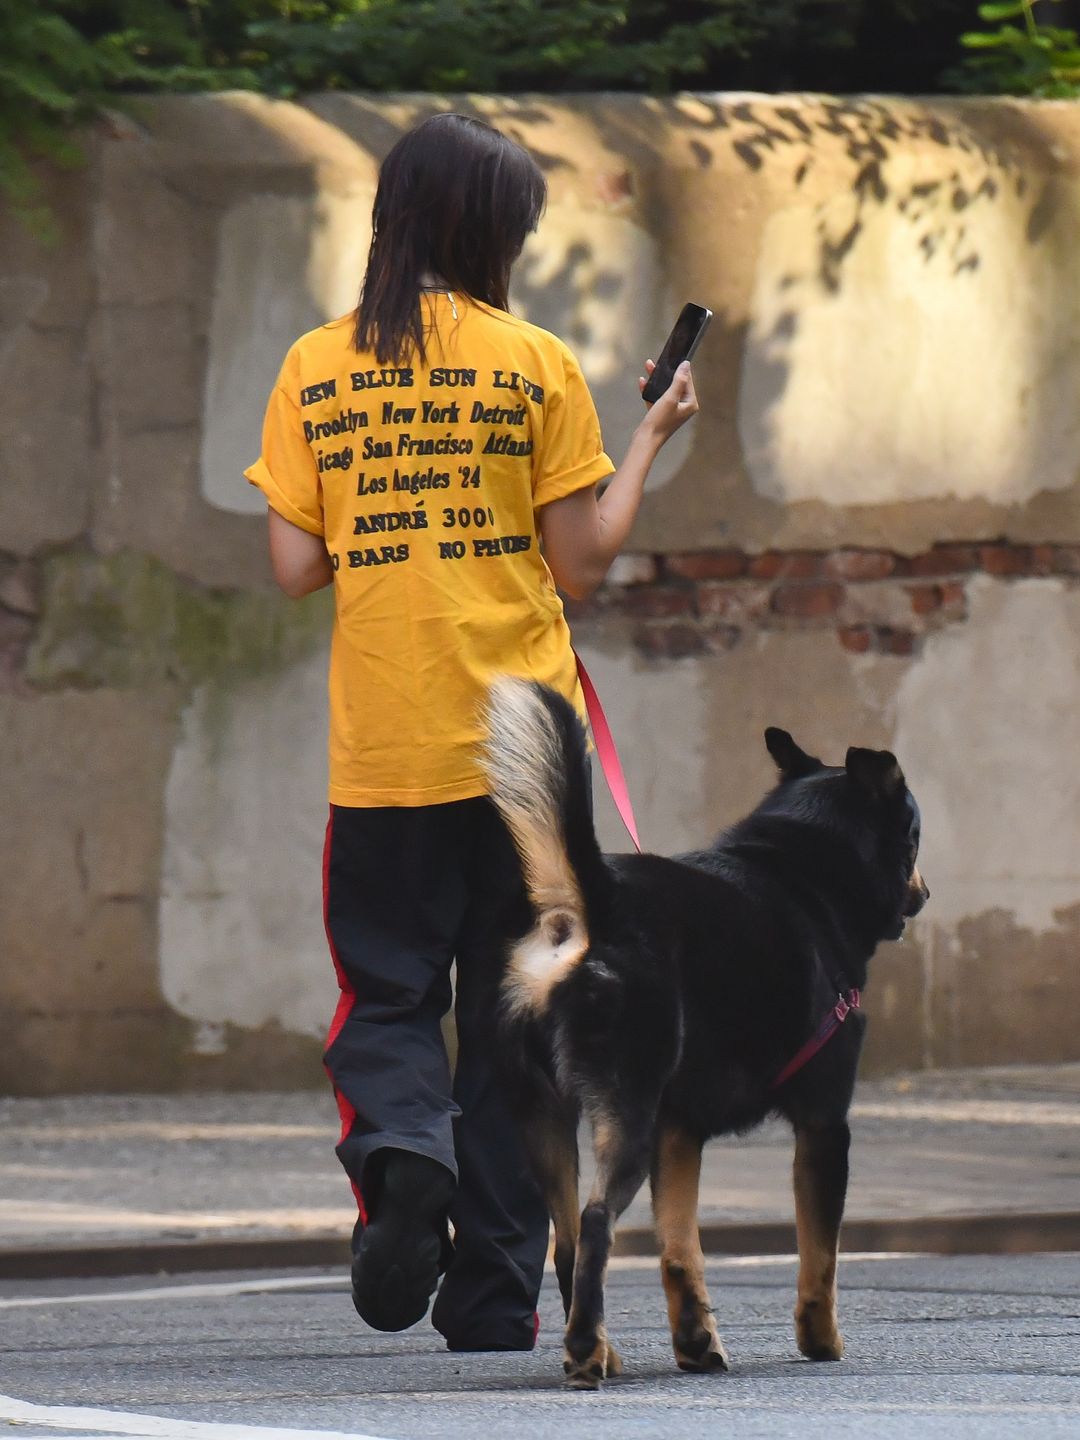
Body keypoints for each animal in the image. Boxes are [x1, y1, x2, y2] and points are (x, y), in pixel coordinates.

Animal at [480, 679, 933, 1388]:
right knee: (597, 1221)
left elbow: (679, 1250)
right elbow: (820, 1256)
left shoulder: (680, 1130)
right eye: (914, 836)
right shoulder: (825, 1126)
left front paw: (696, 1341)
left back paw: (598, 1344)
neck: (801, 873)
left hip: (545, 1118)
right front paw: (821, 1340)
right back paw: (584, 1352)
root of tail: (589, 906)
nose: (925, 891)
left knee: (569, 1240)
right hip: (627, 1115)